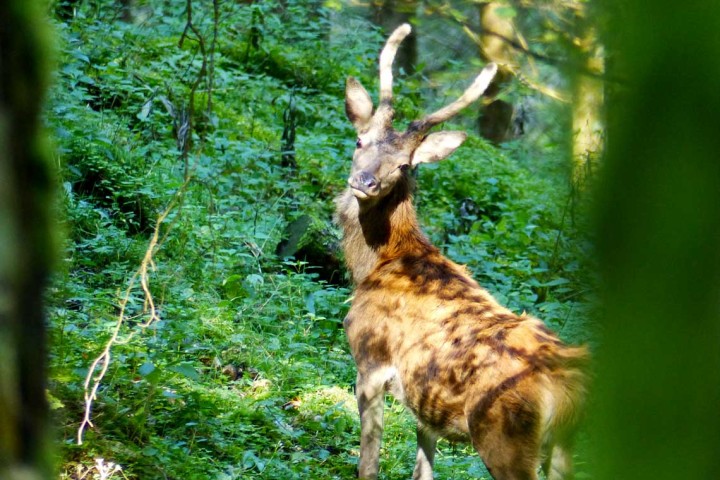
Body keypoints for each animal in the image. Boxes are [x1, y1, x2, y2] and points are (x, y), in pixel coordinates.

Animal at [334, 25, 588, 480]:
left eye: (404, 165)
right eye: (360, 140)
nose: (364, 182)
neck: (375, 265)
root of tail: (565, 383)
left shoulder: (369, 359)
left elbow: (368, 464)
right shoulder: (425, 405)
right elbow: (423, 470)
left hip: (505, 438)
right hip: (563, 444)